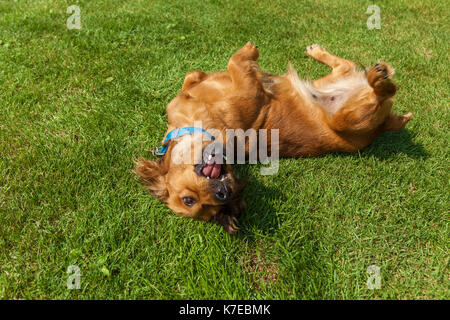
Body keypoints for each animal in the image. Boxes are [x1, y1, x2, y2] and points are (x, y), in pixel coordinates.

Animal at [135, 42, 414, 232]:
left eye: (188, 199)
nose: (224, 194)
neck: (190, 124)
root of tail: (384, 127)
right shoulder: (248, 93)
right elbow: (236, 65)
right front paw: (247, 53)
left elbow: (196, 73)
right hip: (348, 119)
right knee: (383, 92)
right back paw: (379, 80)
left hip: (331, 82)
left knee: (346, 65)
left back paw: (323, 54)